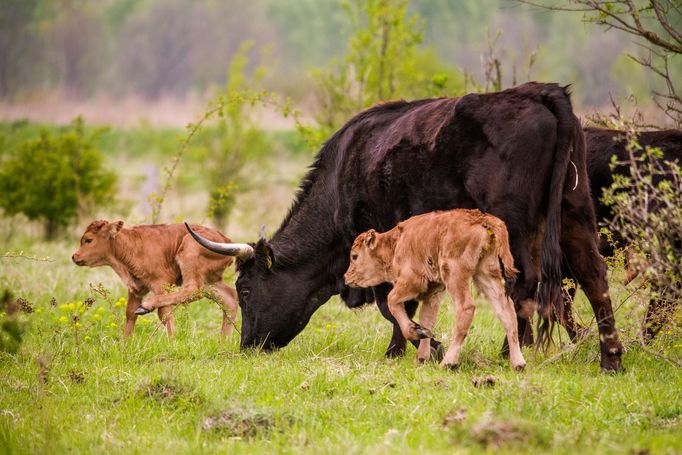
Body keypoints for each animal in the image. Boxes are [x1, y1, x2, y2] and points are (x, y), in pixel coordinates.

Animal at [71, 221, 236, 338]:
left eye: (88, 240)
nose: (74, 256)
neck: (129, 245)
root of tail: (227, 240)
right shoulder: (136, 289)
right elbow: (130, 313)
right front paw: (125, 345)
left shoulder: (160, 284)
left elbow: (164, 314)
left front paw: (172, 342)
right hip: (210, 281)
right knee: (229, 299)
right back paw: (223, 341)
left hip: (190, 253)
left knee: (192, 289)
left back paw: (146, 306)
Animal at [342, 210, 524, 370]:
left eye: (355, 256)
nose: (346, 277)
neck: (395, 244)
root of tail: (481, 218)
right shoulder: (434, 291)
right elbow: (427, 318)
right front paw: (421, 357)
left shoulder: (412, 281)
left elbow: (392, 300)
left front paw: (415, 332)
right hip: (486, 274)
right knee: (507, 312)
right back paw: (518, 364)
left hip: (455, 275)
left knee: (466, 307)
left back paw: (448, 363)